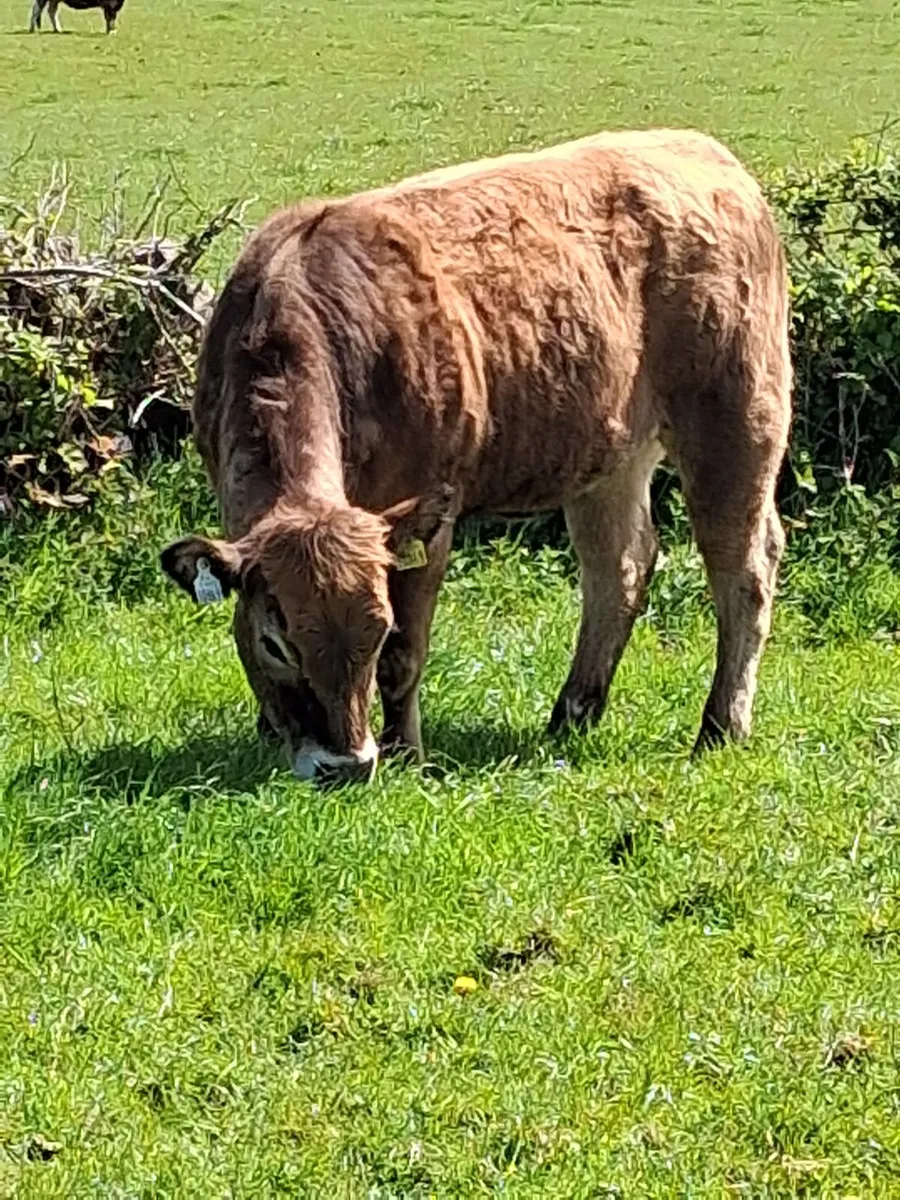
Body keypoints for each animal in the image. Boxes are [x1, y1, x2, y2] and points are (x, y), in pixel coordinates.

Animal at [162, 129, 792, 784]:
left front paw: (406, 755)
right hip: (612, 453)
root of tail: (703, 151)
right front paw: (267, 735)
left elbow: (407, 653)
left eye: (376, 629)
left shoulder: (427, 510)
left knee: (744, 570)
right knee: (620, 566)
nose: (345, 764)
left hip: (737, 418)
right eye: (276, 642)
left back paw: (720, 727)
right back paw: (572, 713)